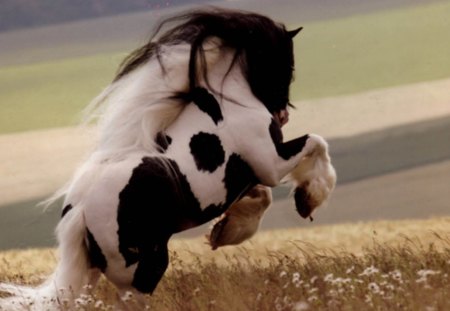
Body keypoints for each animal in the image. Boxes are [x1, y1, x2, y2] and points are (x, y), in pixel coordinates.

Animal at [0, 8, 336, 310]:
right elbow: (316, 142)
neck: (228, 103)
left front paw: (224, 233)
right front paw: (309, 199)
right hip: (141, 269)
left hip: (95, 270)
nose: (282, 114)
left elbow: (262, 197)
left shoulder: (247, 176)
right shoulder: (270, 164)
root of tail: (80, 211)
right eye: (287, 65)